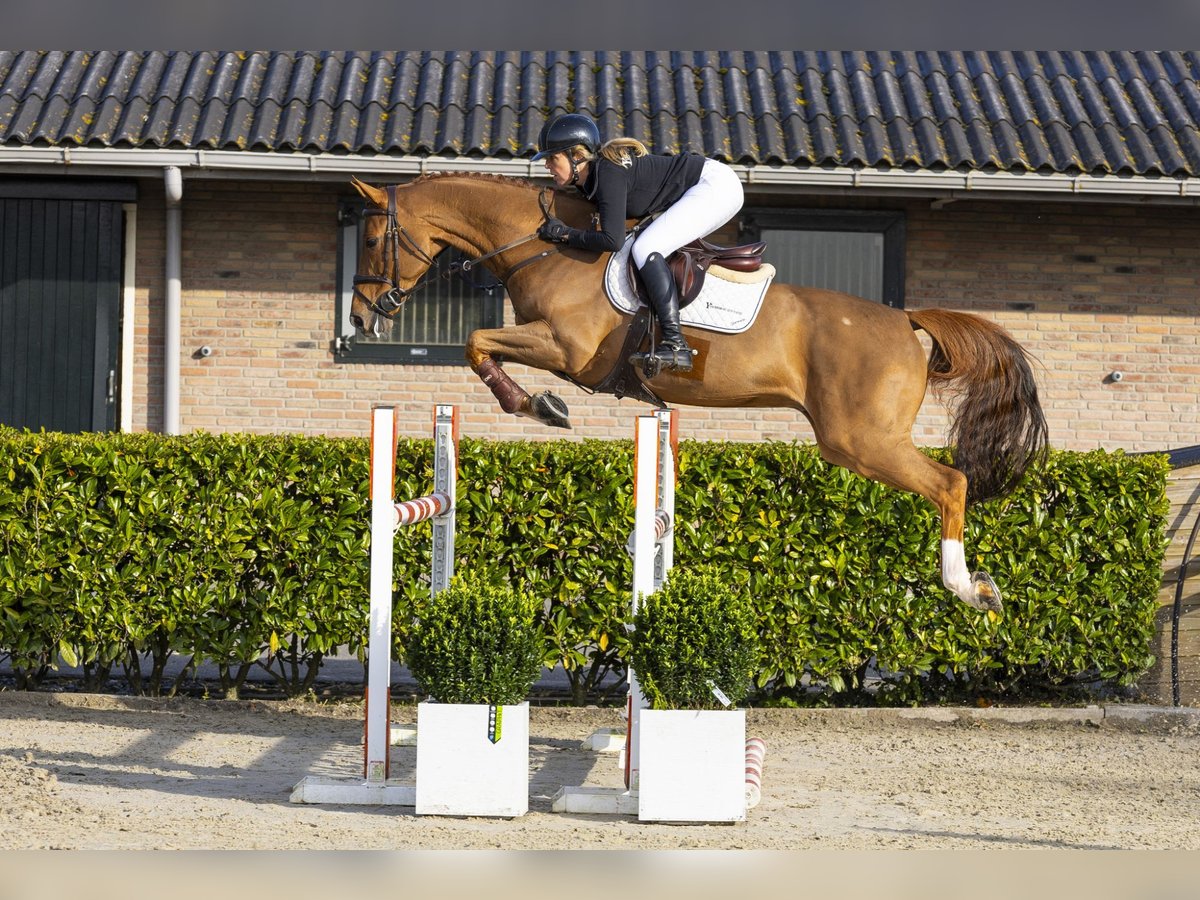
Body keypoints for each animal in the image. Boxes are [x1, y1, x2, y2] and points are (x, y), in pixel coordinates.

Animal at [345, 172, 1041, 619]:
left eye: (374, 239)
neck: (542, 245)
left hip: (862, 441)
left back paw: (969, 589)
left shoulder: (565, 349)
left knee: (951, 484)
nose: (360, 318)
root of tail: (906, 320)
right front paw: (537, 404)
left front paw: (536, 405)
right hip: (861, 441)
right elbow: (478, 343)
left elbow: (474, 340)